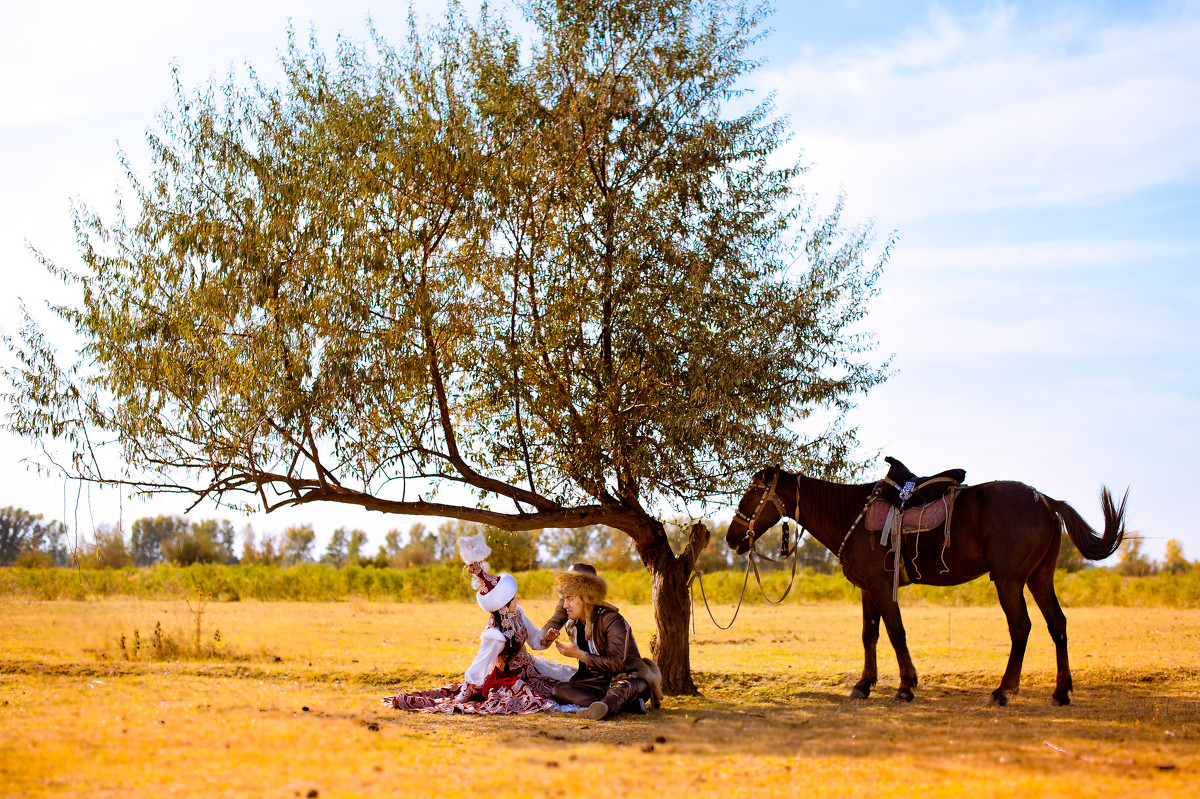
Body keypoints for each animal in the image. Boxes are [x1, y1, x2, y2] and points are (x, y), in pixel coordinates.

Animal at [724, 467, 1128, 705]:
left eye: (751, 495)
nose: (731, 538)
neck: (848, 514)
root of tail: (1046, 500)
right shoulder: (867, 590)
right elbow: (869, 635)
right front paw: (864, 685)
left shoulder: (880, 585)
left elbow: (895, 632)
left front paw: (906, 686)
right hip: (1039, 578)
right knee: (1057, 624)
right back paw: (1060, 692)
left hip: (1010, 580)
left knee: (1021, 627)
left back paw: (1003, 690)